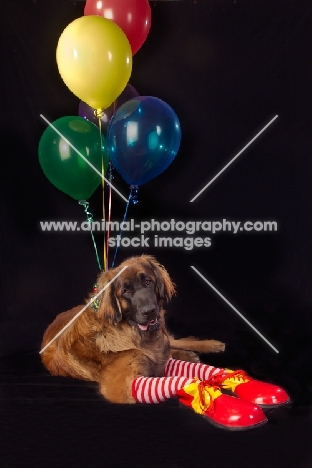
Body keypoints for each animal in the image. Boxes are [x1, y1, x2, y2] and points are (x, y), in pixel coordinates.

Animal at [41, 254, 225, 404]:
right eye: (126, 291)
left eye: (148, 282)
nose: (149, 311)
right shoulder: (123, 385)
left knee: (176, 342)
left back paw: (213, 345)